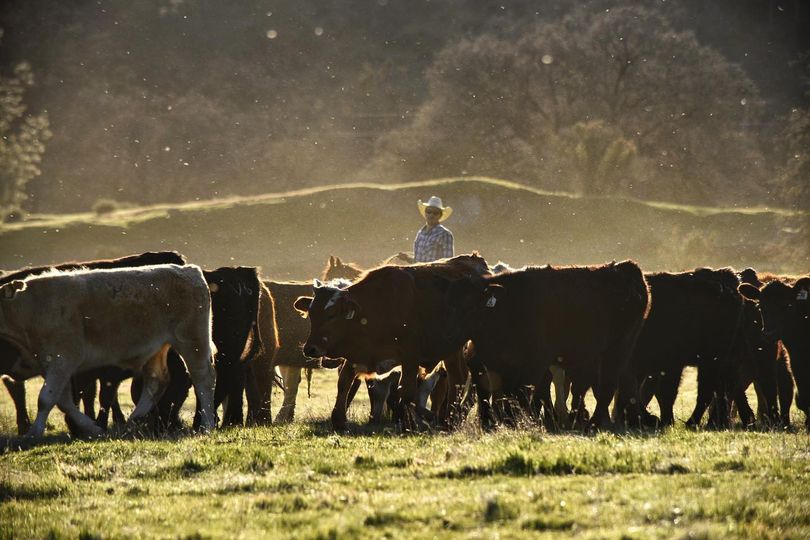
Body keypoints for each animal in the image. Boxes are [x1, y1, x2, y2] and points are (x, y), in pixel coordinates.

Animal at [0, 264, 217, 437]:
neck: (31, 306)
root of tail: (189, 270)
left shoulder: (63, 358)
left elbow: (46, 399)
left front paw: (34, 432)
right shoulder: (49, 362)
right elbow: (63, 400)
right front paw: (93, 428)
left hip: (192, 341)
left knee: (203, 379)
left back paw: (207, 425)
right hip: (157, 348)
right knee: (156, 382)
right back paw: (132, 421)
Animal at [295, 253, 490, 431]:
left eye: (332, 314)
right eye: (311, 313)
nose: (310, 349)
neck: (376, 309)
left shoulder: (410, 357)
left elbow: (407, 391)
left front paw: (408, 422)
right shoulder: (357, 353)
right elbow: (344, 383)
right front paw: (338, 420)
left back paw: (449, 418)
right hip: (451, 350)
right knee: (458, 378)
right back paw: (450, 418)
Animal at [443, 261, 649, 431]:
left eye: (469, 306)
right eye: (448, 304)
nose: (449, 331)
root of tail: (627, 269)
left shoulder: (536, 362)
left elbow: (523, 392)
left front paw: (518, 423)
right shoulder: (494, 363)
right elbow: (504, 393)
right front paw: (504, 422)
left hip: (618, 348)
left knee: (607, 385)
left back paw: (594, 424)